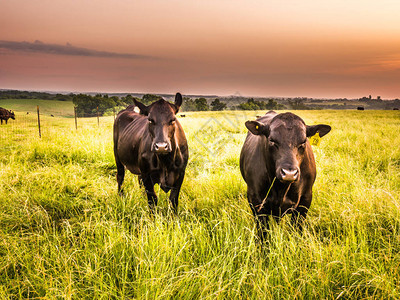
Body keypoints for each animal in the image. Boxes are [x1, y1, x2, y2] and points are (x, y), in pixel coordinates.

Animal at [241, 111, 332, 240]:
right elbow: (263, 234)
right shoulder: (256, 201)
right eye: (272, 140)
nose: (289, 173)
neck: (281, 190)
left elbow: (297, 230)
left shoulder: (305, 199)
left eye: (303, 141)